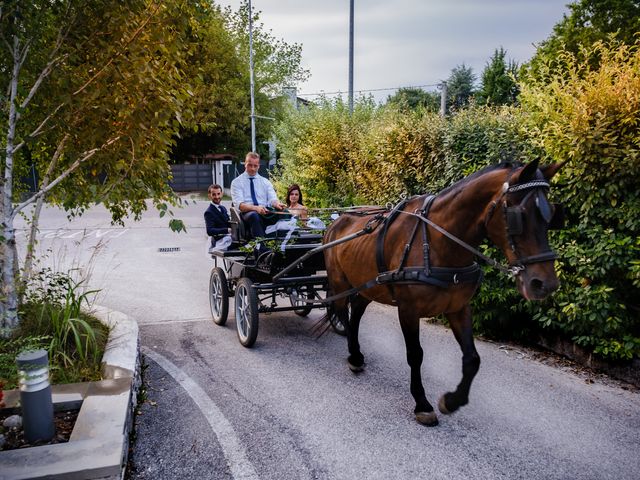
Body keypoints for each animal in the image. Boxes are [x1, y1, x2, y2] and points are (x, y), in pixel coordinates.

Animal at [324, 159, 560, 426]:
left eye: (551, 214)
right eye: (519, 215)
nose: (545, 284)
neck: (437, 242)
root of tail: (337, 220)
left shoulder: (459, 308)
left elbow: (472, 358)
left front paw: (452, 400)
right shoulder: (408, 310)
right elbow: (415, 354)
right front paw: (422, 403)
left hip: (368, 286)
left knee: (355, 314)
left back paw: (356, 354)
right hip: (340, 282)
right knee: (342, 314)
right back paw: (353, 355)